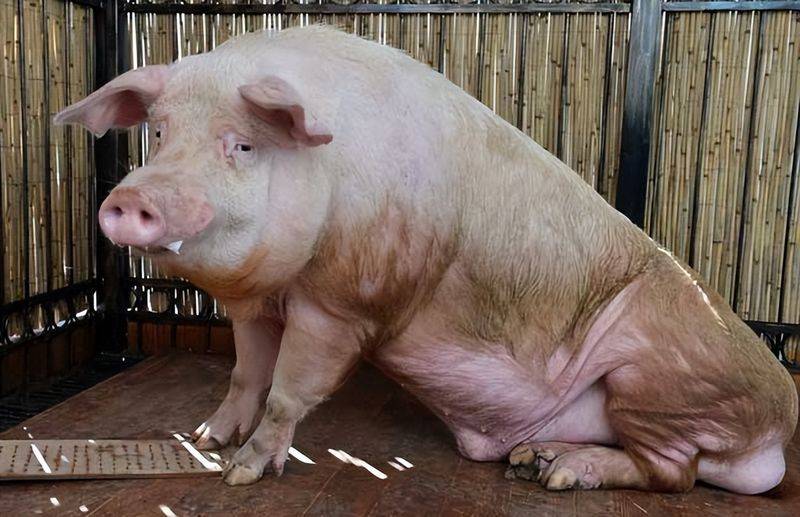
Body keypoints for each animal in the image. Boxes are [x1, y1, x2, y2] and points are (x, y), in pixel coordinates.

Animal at [55, 25, 797, 493]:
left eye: (241, 145)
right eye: (158, 133)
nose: (130, 198)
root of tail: (773, 434)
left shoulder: (345, 299)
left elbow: (289, 389)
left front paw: (241, 472)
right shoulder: (258, 303)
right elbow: (245, 372)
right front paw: (206, 439)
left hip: (656, 373)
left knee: (673, 475)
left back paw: (557, 473)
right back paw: (532, 459)